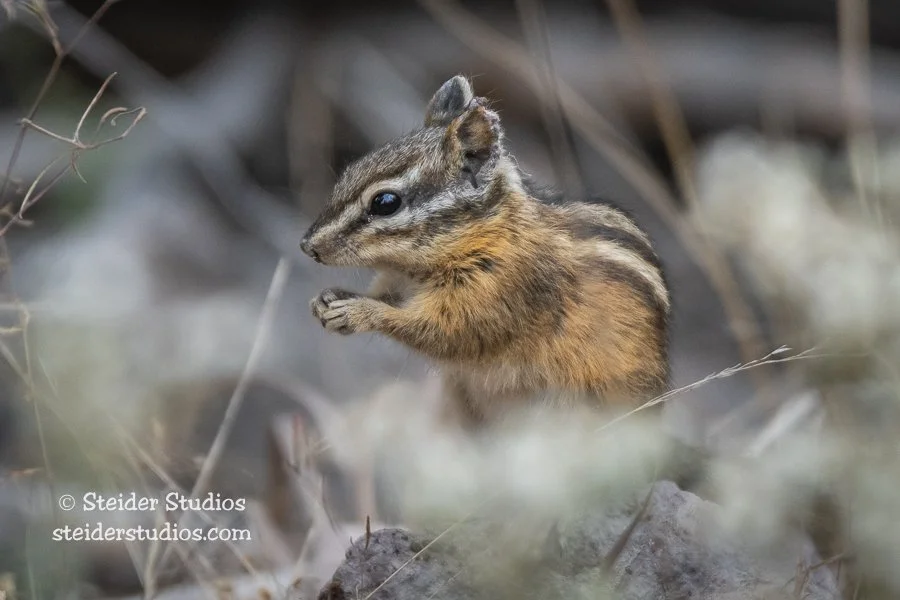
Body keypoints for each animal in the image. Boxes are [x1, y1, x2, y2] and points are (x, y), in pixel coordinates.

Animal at [300, 75, 671, 427]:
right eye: (350, 171)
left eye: (385, 202)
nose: (307, 246)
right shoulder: (400, 282)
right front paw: (327, 299)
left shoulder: (499, 291)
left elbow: (443, 332)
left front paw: (360, 312)